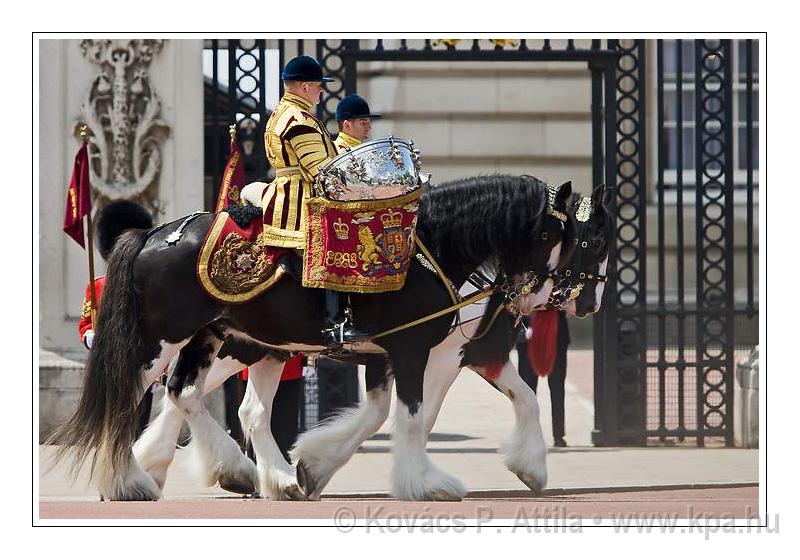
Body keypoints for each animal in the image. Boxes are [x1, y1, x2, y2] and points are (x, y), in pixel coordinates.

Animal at [50, 174, 612, 498]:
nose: (584, 302)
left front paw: (316, 465)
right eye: (592, 239)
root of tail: (151, 234)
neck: (436, 249)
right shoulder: (423, 351)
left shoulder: (449, 351)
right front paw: (425, 483)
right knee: (136, 395)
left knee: (197, 396)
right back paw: (132, 478)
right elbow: (413, 417)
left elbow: (508, 400)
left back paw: (249, 473)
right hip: (166, 339)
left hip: (230, 340)